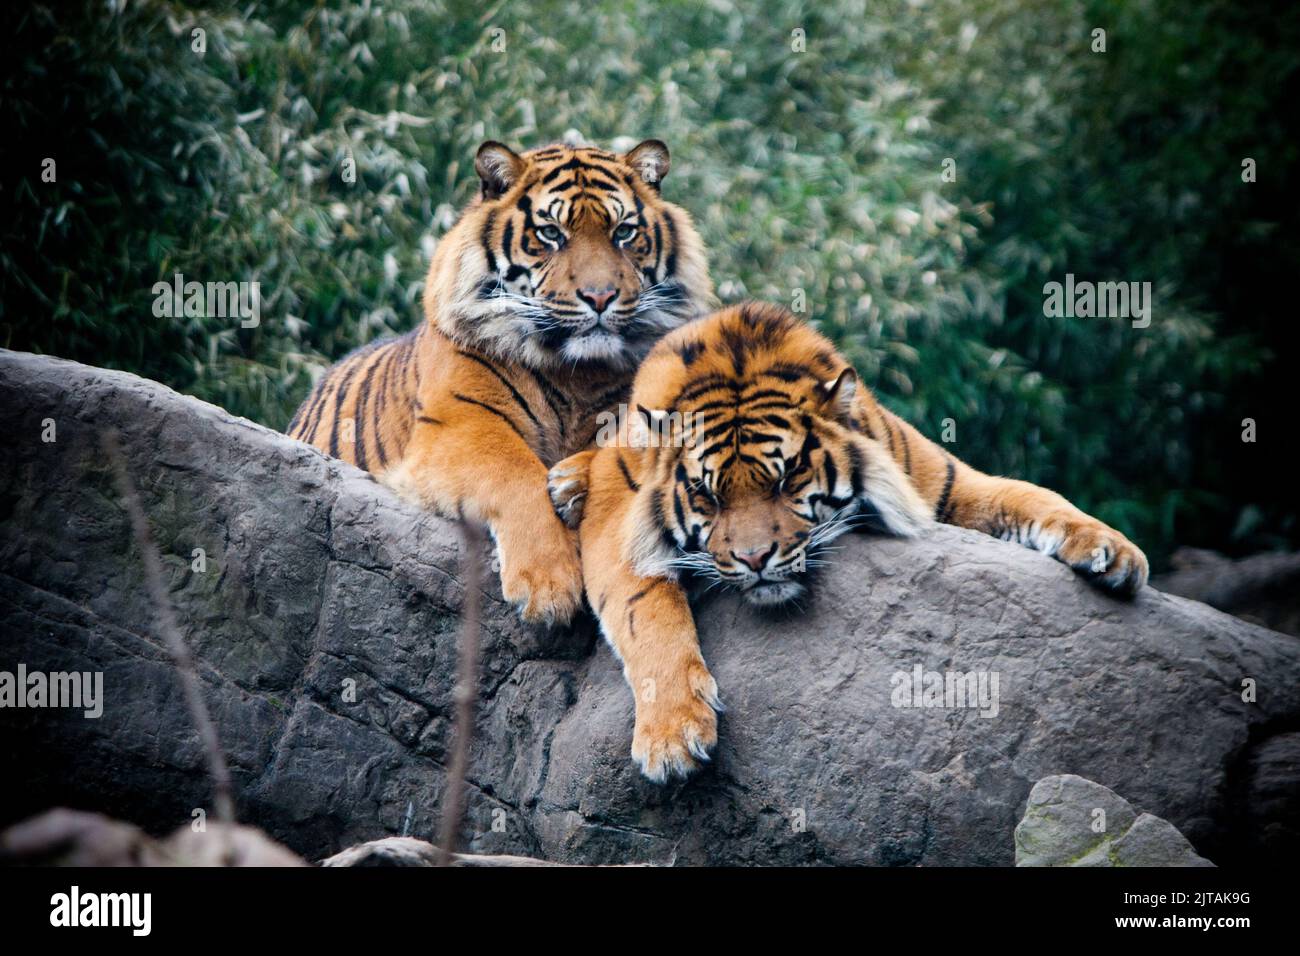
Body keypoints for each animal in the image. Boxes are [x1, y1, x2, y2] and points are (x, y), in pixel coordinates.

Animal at [287, 138, 712, 624]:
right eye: (551, 234)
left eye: (623, 232)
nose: (600, 296)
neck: (577, 372)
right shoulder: (461, 425)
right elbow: (517, 474)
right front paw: (547, 588)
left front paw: (574, 481)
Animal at [546, 303, 1149, 780]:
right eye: (708, 496)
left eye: (788, 478)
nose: (754, 559)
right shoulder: (616, 528)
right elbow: (649, 617)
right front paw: (672, 736)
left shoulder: (948, 482)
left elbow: (1032, 495)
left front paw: (1114, 550)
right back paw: (567, 482)